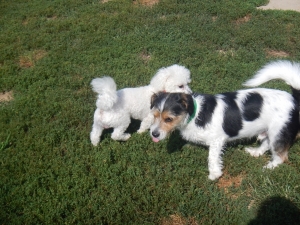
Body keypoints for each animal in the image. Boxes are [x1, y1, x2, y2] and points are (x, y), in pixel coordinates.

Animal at [149, 60, 300, 180]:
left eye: (168, 119)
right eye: (154, 115)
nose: (153, 134)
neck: (196, 112)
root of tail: (294, 99)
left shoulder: (217, 141)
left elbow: (212, 158)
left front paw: (214, 174)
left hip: (279, 132)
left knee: (281, 156)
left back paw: (269, 167)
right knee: (267, 143)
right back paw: (256, 152)